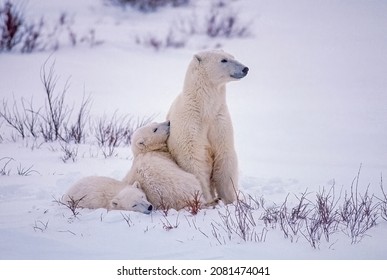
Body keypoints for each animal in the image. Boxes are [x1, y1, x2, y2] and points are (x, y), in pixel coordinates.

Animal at [168, 49, 250, 203]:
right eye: (223, 60)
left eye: (233, 56)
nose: (245, 68)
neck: (204, 109)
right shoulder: (190, 123)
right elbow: (194, 159)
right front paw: (207, 198)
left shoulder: (219, 121)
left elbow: (224, 156)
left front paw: (230, 199)